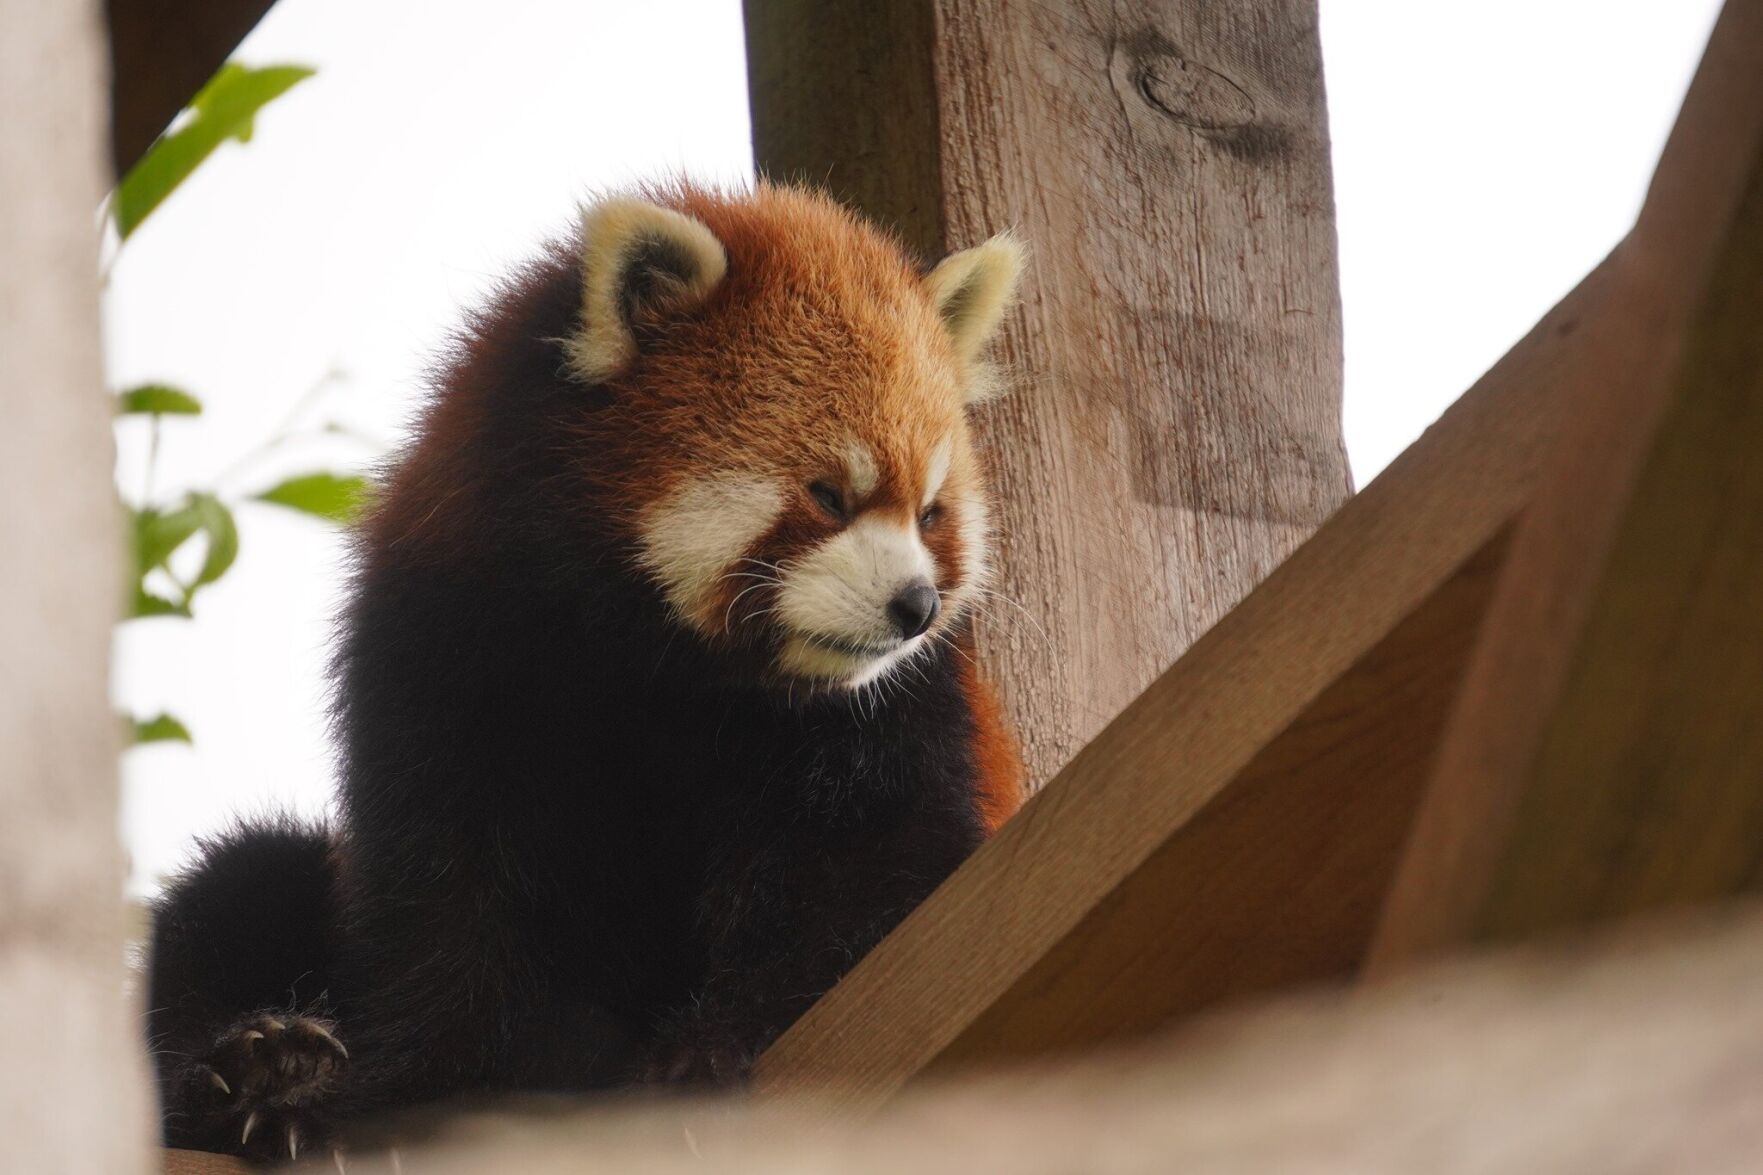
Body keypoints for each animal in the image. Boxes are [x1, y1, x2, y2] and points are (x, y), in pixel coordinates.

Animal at [145, 181, 1027, 1162]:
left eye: (930, 512)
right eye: (830, 495)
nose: (916, 606)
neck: (652, 662)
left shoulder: (893, 718)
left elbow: (881, 869)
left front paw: (708, 1048)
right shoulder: (436, 654)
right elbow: (446, 915)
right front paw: (384, 1097)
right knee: (245, 877)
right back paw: (257, 1064)